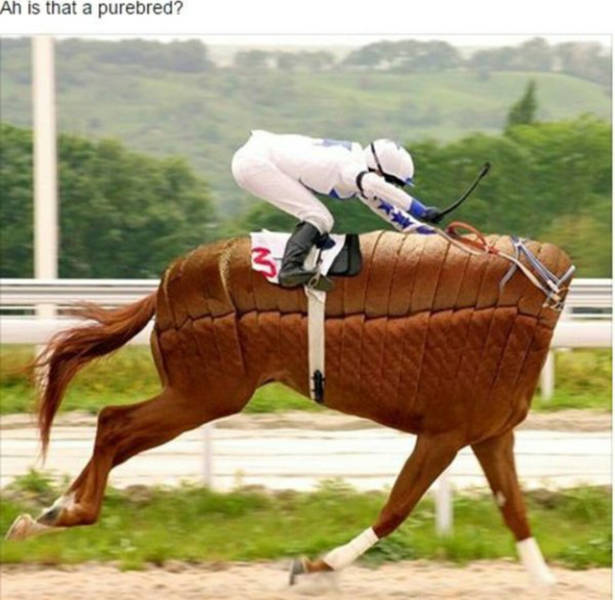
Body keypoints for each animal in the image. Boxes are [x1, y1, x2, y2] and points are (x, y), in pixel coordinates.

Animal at [4, 227, 572, 588]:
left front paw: (545, 579)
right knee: (114, 424)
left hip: (199, 394)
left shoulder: (489, 433)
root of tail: (164, 286)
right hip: (203, 393)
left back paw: (51, 512)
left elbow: (515, 511)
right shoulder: (444, 432)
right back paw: (63, 512)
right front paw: (315, 568)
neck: (527, 298)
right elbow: (395, 508)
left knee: (113, 428)